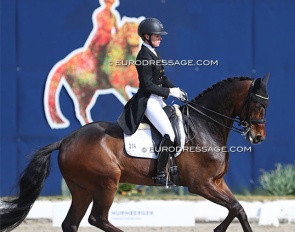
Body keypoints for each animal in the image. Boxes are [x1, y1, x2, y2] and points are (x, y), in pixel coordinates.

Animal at [0, 74, 270, 230]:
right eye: (258, 104)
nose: (258, 138)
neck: (205, 125)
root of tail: (66, 139)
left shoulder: (217, 182)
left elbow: (238, 209)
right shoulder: (201, 184)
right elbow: (235, 208)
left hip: (82, 188)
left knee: (71, 223)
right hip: (106, 183)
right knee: (98, 219)